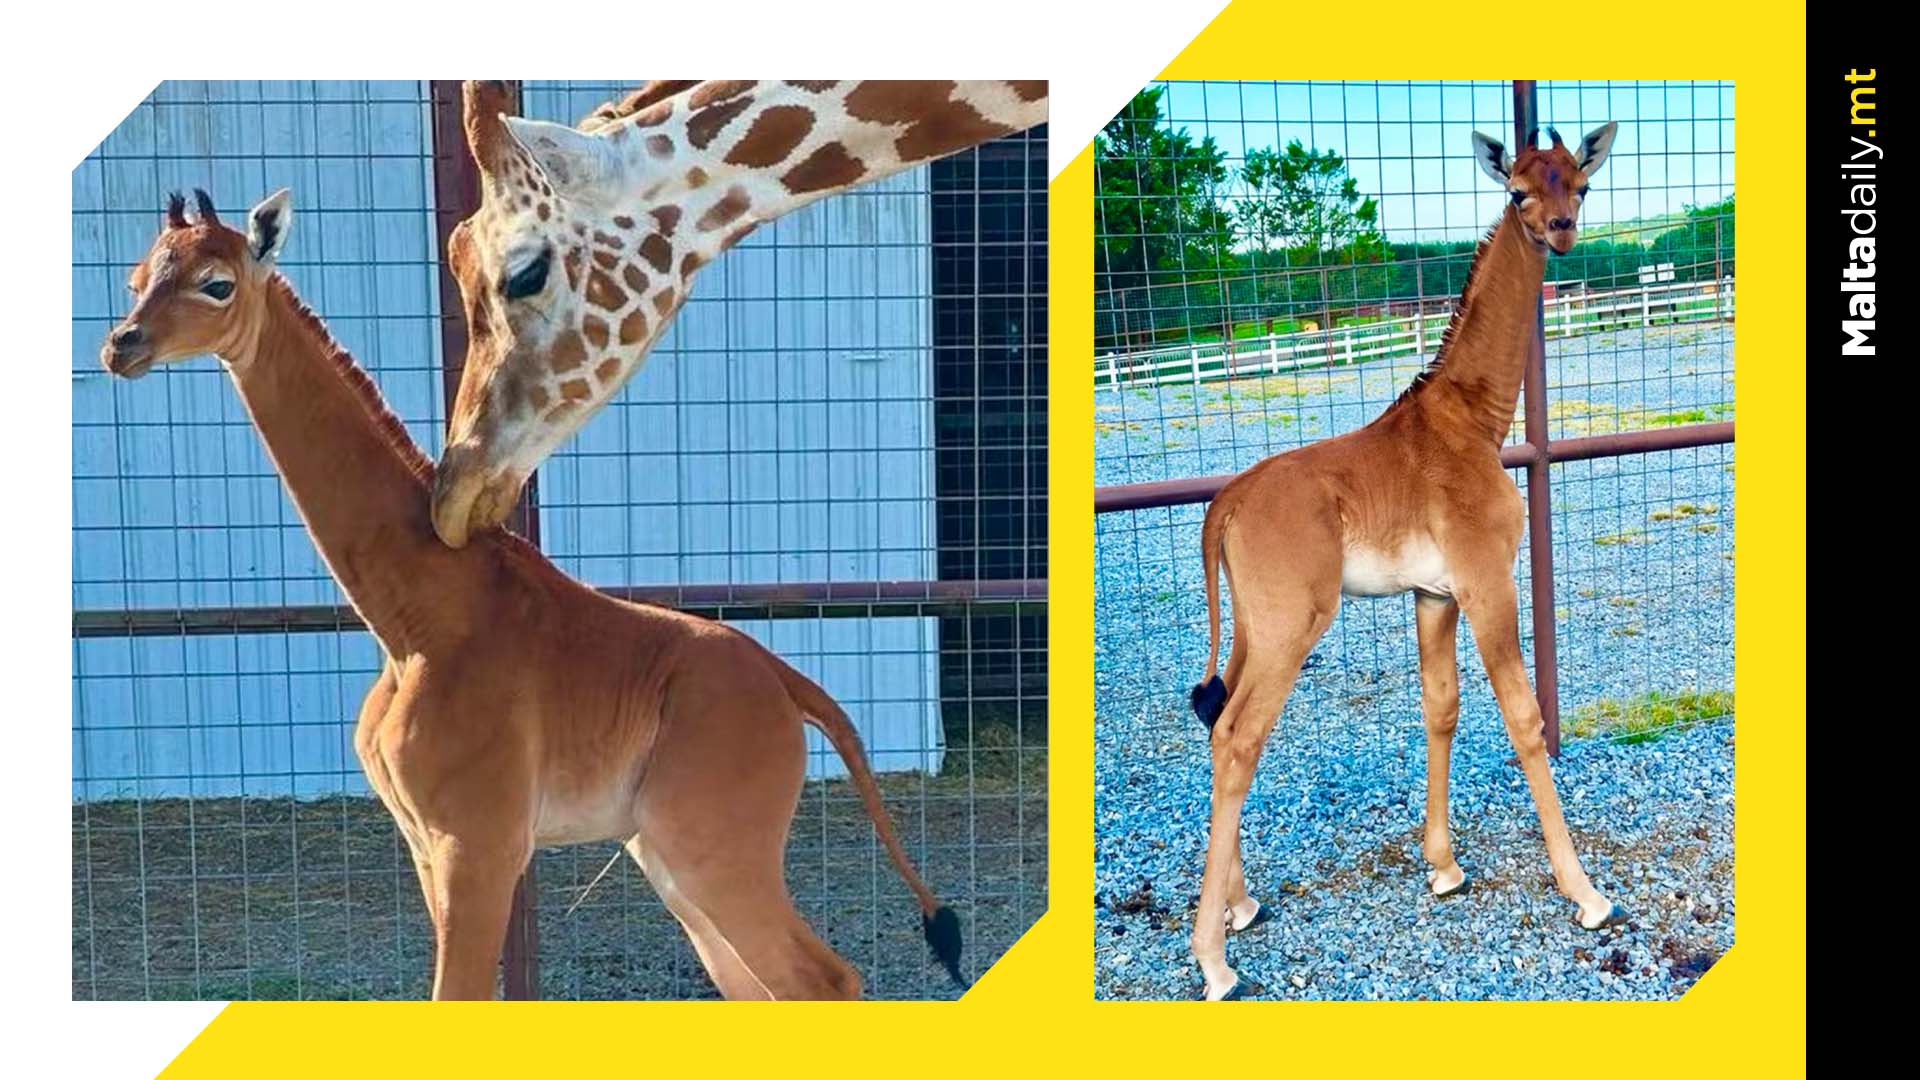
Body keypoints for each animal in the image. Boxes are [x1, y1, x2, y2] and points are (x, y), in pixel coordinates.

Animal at [100, 188, 969, 1000]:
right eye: (138, 277)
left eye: (216, 284)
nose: (121, 345)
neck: (412, 617)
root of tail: (790, 686)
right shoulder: (428, 846)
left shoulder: (477, 842)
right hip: (669, 855)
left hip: (711, 844)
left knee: (822, 978)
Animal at [1184, 123, 1624, 1000]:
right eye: (1518, 191)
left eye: (1581, 184)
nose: (1561, 231)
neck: (1476, 421)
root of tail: (1225, 505)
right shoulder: (1487, 580)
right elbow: (1524, 718)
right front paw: (1587, 894)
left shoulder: (1433, 593)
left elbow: (1441, 708)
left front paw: (1445, 866)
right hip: (1293, 623)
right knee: (1239, 738)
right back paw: (1214, 961)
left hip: (1252, 624)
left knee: (1218, 721)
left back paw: (1241, 906)